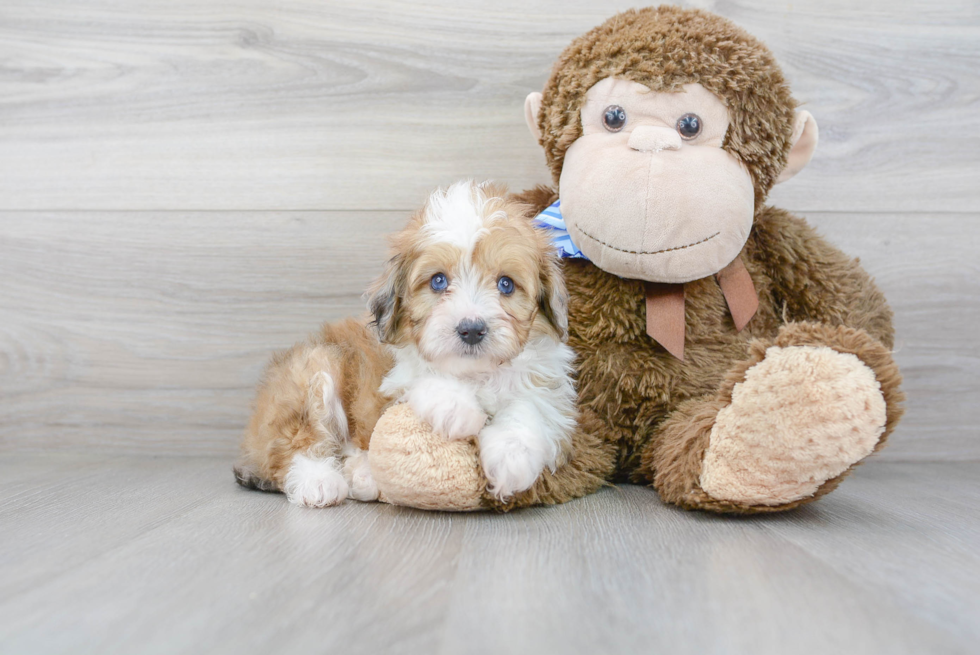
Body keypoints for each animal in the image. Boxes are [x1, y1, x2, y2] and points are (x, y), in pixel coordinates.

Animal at [234, 179, 580, 508]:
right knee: (295, 444)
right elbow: (424, 380)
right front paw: (459, 409)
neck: (474, 373)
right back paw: (319, 481)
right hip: (312, 368)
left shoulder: (546, 384)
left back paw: (360, 474)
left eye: (506, 284)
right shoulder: (392, 381)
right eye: (438, 281)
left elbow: (530, 405)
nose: (471, 329)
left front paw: (511, 456)